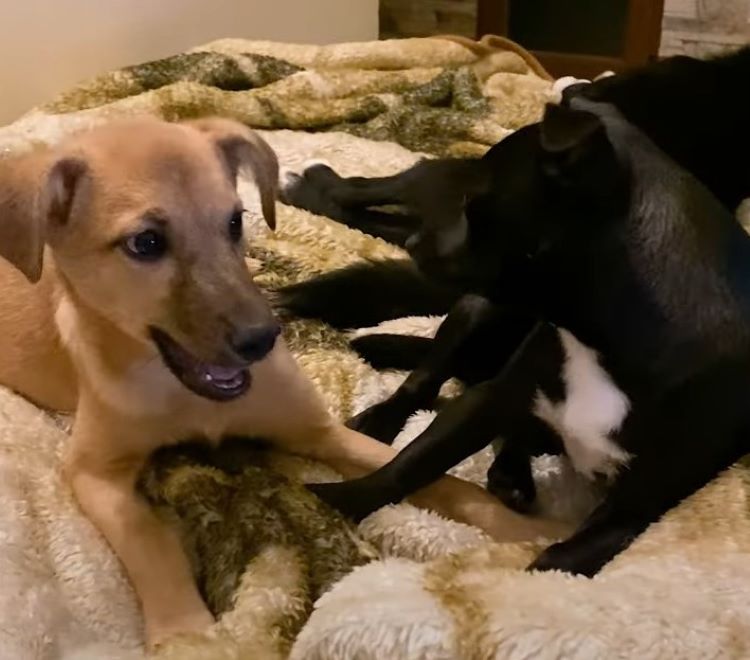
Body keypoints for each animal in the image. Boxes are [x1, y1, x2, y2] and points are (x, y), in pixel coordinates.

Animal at [0, 116, 564, 648]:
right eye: (146, 243)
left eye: (235, 221)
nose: (264, 338)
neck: (191, 396)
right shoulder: (93, 471)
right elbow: (149, 541)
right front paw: (188, 633)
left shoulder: (320, 432)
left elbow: (422, 470)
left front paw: (531, 531)